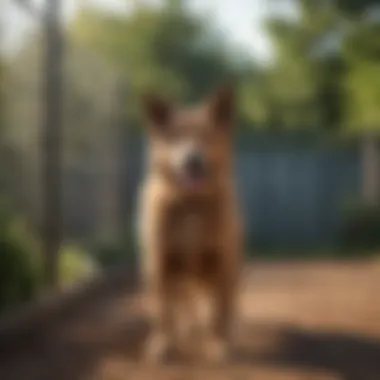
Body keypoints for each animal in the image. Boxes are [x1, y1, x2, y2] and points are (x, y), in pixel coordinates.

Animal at [138, 84, 242, 364]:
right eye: (175, 137)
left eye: (206, 135)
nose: (193, 160)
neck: (190, 204)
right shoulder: (161, 265)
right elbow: (164, 312)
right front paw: (163, 343)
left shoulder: (221, 265)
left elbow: (220, 311)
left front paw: (219, 344)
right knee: (179, 305)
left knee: (221, 305)